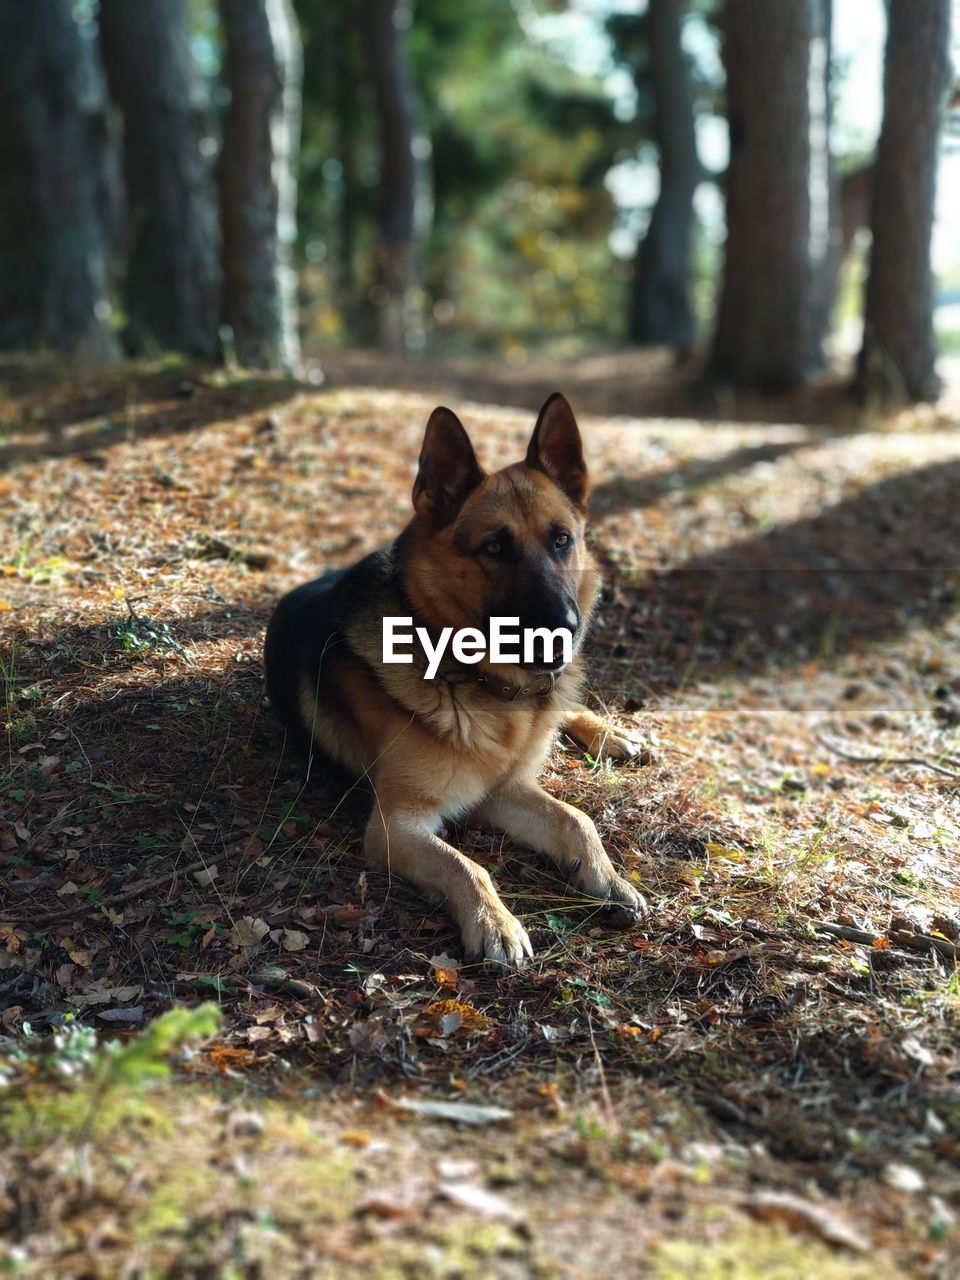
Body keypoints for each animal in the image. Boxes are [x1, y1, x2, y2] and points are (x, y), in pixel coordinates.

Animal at [264, 394, 647, 962]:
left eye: (562, 540)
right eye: (494, 548)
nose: (565, 628)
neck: (481, 685)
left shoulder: (505, 788)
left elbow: (576, 821)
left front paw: (608, 879)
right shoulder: (398, 826)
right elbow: (467, 866)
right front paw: (496, 923)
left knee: (567, 707)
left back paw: (609, 733)